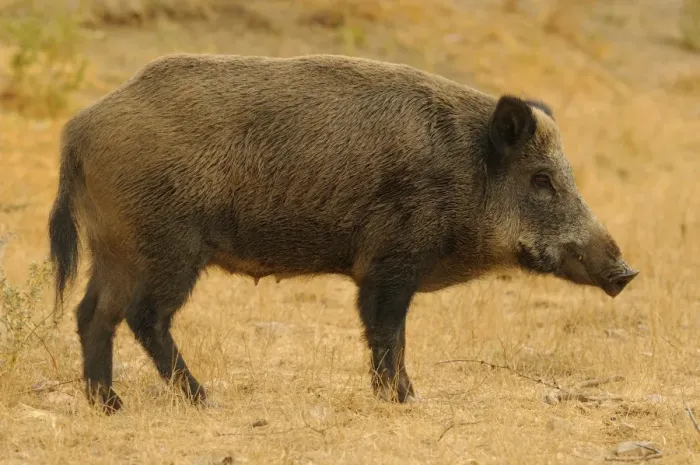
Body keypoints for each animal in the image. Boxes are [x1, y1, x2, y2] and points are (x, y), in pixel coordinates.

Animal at [47, 53, 638, 413]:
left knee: (91, 313)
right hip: (166, 246)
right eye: (541, 179)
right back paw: (203, 399)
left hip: (115, 248)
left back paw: (110, 405)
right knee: (144, 316)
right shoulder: (390, 262)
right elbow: (387, 331)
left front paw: (403, 398)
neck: (467, 172)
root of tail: (78, 129)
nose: (626, 271)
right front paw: (405, 400)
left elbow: (392, 334)